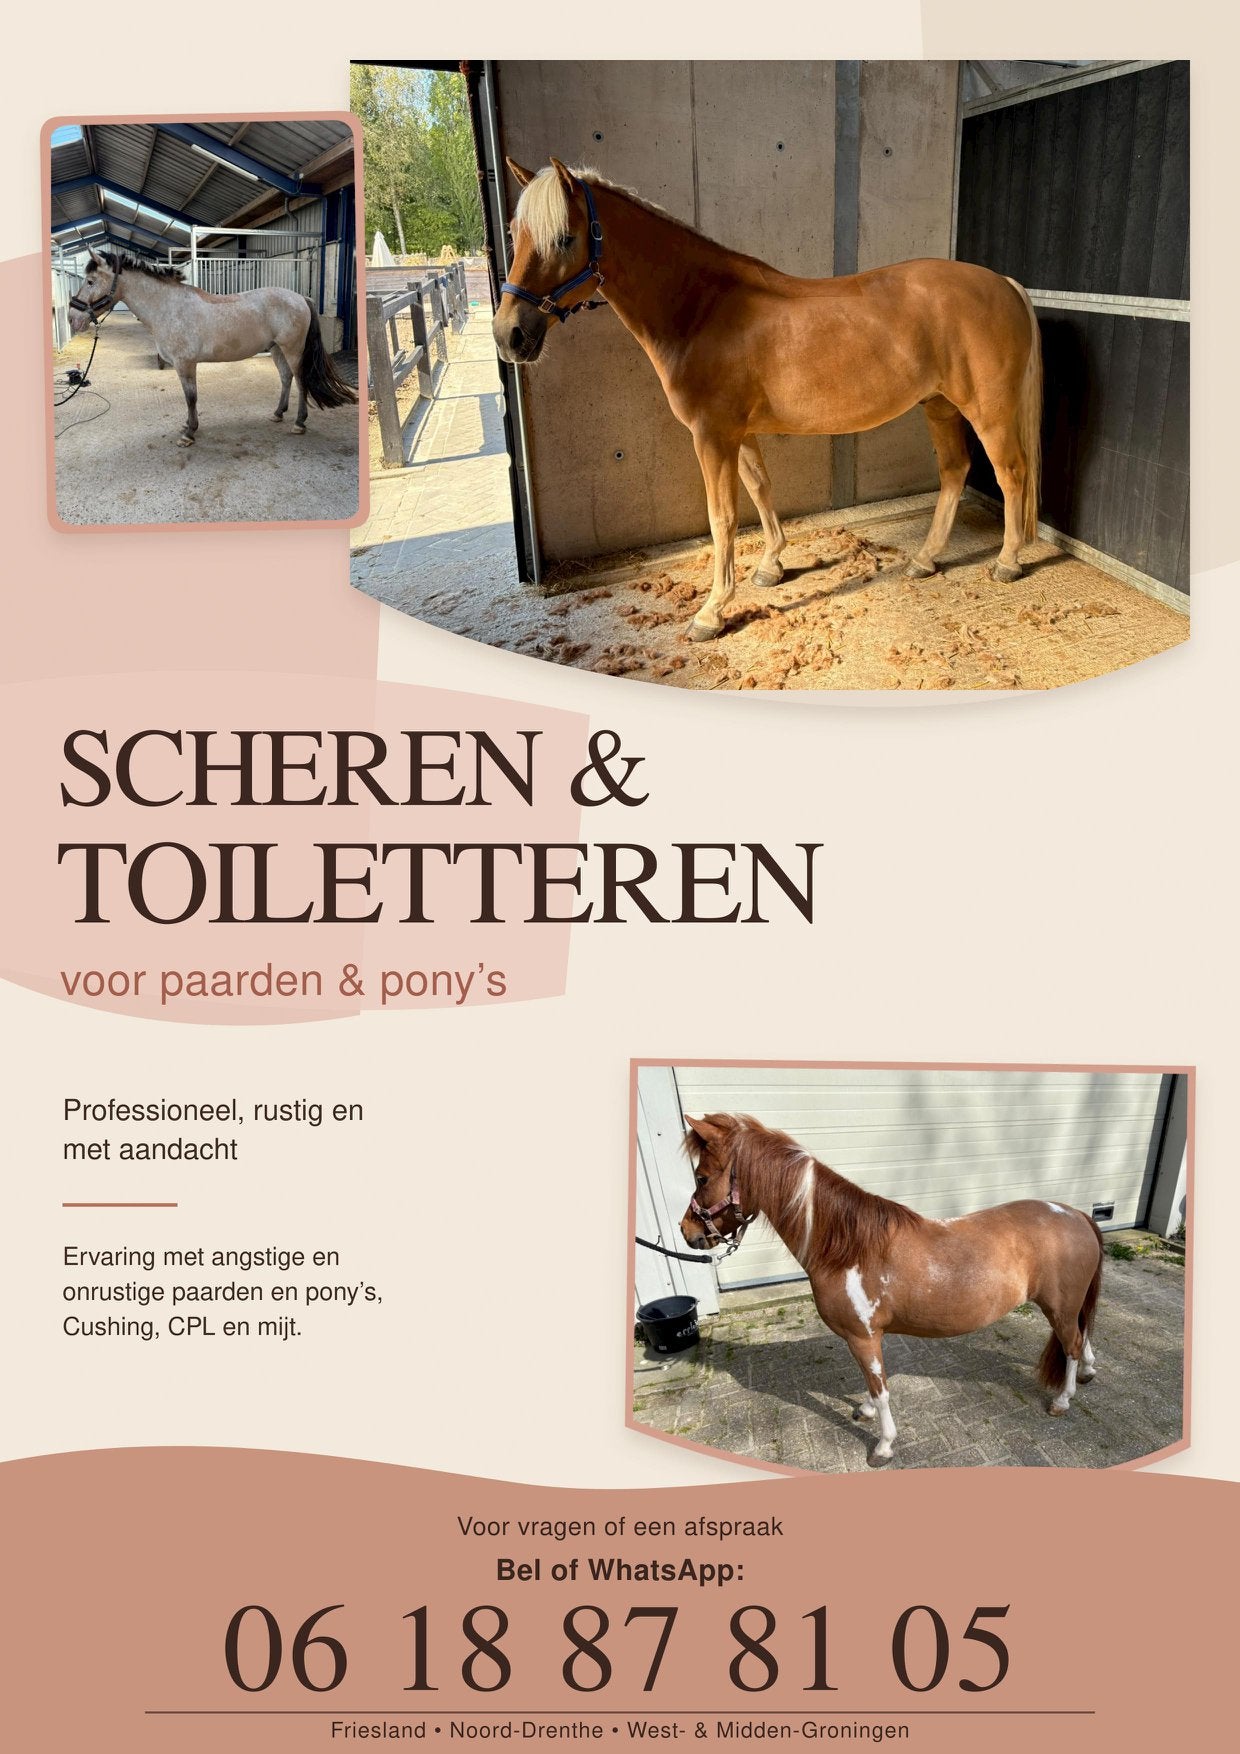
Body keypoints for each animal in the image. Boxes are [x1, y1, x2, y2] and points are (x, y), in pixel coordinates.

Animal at [68, 249, 357, 447]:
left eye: (90, 281)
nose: (73, 318)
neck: (168, 307)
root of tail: (300, 297)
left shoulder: (185, 364)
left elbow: (191, 397)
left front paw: (189, 433)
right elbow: (190, 399)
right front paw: (188, 425)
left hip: (293, 349)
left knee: (300, 380)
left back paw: (299, 423)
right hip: (276, 349)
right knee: (286, 378)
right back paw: (277, 414)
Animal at [494, 160, 1042, 642]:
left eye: (564, 238)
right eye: (514, 234)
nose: (509, 336)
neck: (702, 309)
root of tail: (1004, 284)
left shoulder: (713, 436)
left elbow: (722, 518)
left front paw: (712, 612)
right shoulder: (738, 433)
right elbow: (760, 489)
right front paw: (771, 566)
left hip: (988, 412)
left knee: (1011, 472)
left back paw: (1007, 562)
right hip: (939, 406)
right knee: (954, 471)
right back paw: (925, 559)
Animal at [679, 1113, 1103, 1468]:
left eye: (701, 1178)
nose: (687, 1232)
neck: (846, 1249)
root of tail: (1077, 1214)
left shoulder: (863, 1337)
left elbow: (880, 1389)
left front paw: (883, 1446)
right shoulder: (863, 1339)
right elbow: (872, 1384)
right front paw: (864, 1411)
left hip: (1059, 1308)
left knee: (1070, 1345)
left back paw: (1063, 1400)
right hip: (1069, 1307)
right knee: (1083, 1338)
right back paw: (1087, 1372)